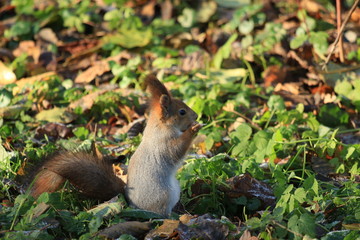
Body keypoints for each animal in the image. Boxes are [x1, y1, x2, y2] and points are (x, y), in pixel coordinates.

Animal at [28, 75, 202, 216]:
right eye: (181, 112)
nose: (196, 116)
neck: (160, 126)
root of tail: (131, 203)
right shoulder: (164, 144)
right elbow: (177, 149)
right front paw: (193, 129)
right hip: (163, 196)